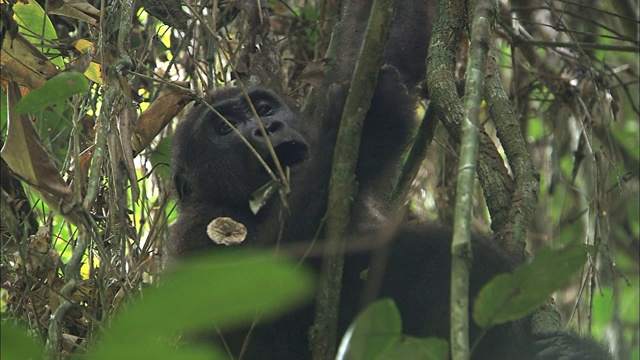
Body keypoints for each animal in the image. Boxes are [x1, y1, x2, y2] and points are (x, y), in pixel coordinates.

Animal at [168, 0, 612, 360]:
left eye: (263, 107)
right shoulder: (193, 232)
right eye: (225, 128)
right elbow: (259, 301)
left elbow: (380, 47)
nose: (268, 128)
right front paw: (373, 127)